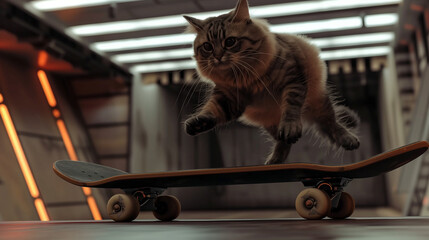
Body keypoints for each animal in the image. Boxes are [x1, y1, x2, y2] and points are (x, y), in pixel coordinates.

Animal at [182, 0, 360, 164]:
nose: (217, 57)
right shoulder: (229, 96)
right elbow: (212, 110)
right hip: (270, 122)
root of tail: (306, 114)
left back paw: (348, 139)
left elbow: (291, 108)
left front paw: (290, 126)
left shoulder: (292, 81)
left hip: (319, 103)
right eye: (207, 46)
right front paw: (197, 123)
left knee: (331, 123)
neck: (244, 77)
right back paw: (275, 159)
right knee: (284, 142)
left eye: (230, 42)